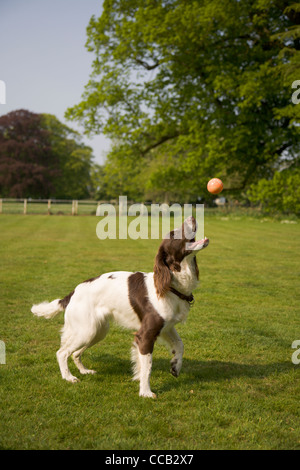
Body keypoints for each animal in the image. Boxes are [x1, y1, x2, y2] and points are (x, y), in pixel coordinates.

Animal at [31, 216, 209, 396]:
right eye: (173, 234)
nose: (192, 217)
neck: (170, 286)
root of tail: (73, 292)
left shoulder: (166, 327)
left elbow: (179, 345)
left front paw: (175, 367)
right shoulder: (145, 334)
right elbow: (147, 367)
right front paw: (145, 392)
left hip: (98, 331)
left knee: (74, 353)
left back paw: (84, 371)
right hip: (86, 330)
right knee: (61, 352)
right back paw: (69, 377)